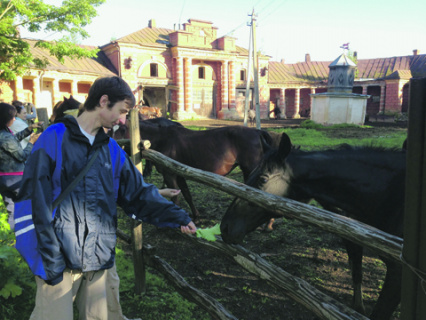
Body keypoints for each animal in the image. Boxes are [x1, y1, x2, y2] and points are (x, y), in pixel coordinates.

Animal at [113, 123, 272, 220]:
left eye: (121, 130)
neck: (162, 139)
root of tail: (258, 131)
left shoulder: (169, 174)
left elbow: (176, 198)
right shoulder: (179, 174)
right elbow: (187, 194)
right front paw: (196, 216)